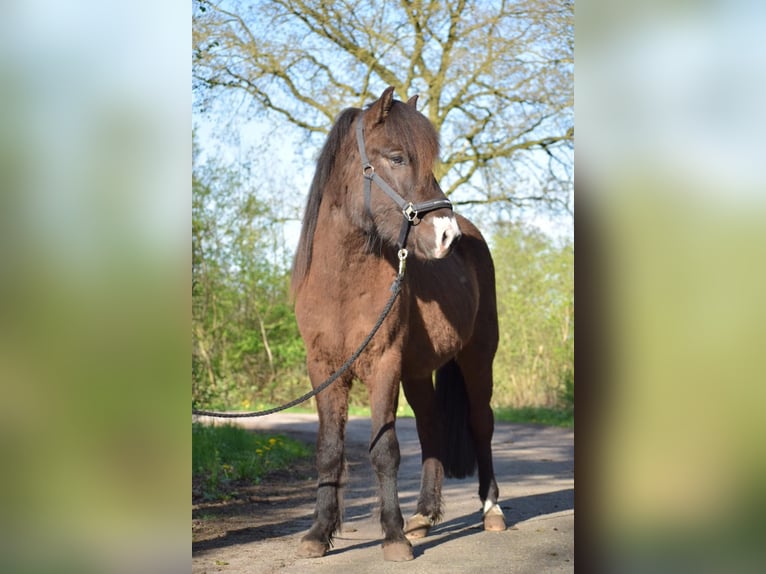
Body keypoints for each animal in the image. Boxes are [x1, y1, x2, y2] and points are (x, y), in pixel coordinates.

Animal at [292, 88, 508, 564]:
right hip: (418, 372)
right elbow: (329, 450)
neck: (341, 284)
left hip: (477, 358)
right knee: (430, 429)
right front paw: (318, 534)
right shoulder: (323, 369)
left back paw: (492, 511)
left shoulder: (384, 363)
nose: (446, 235)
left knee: (481, 424)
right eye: (396, 157)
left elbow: (385, 450)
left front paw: (392, 537)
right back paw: (424, 516)